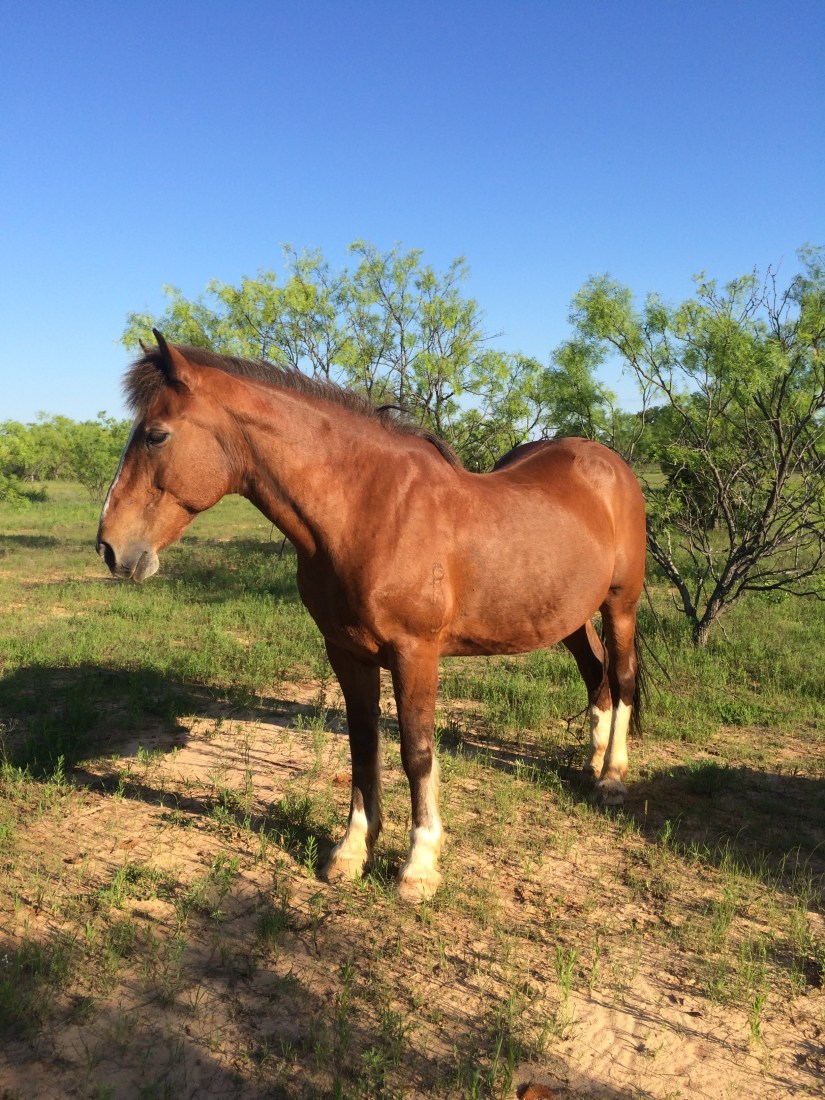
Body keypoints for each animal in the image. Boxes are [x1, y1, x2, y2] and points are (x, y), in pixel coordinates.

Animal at [97, 331, 647, 903]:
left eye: (156, 435)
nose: (111, 548)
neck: (367, 510)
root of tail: (608, 463)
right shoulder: (346, 652)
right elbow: (363, 745)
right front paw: (351, 851)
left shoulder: (415, 653)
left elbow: (417, 752)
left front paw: (419, 866)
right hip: (569, 615)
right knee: (595, 673)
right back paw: (593, 760)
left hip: (620, 604)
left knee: (623, 676)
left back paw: (612, 777)